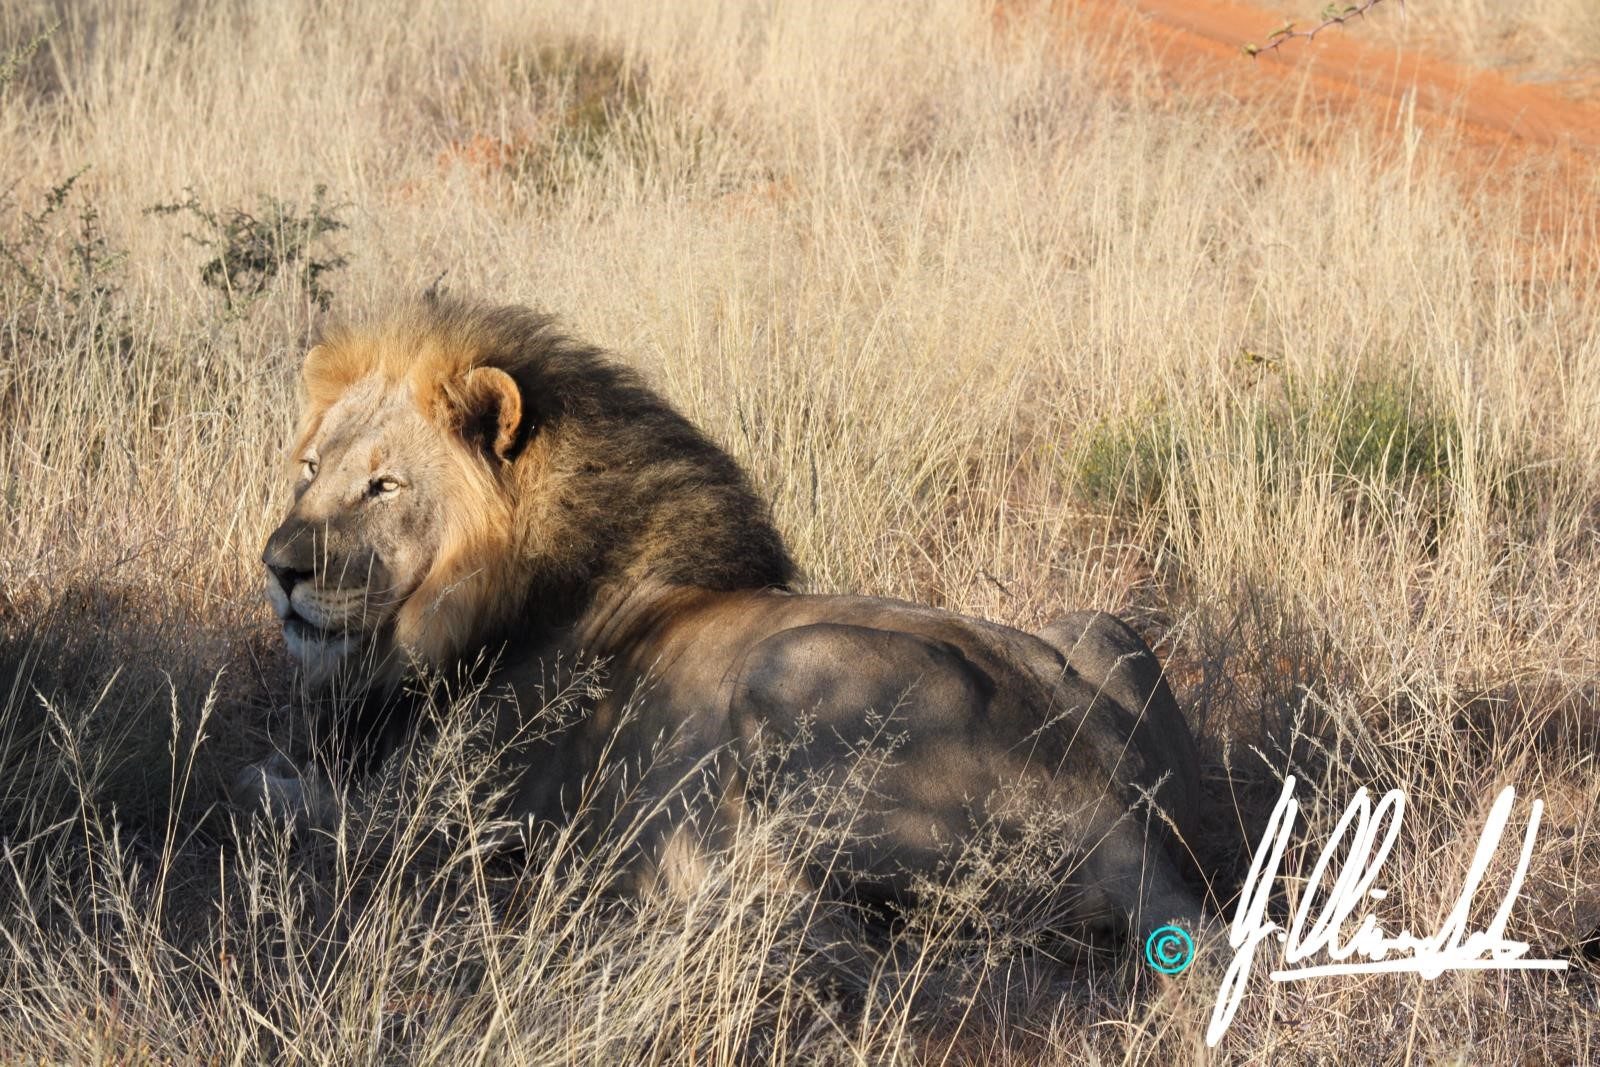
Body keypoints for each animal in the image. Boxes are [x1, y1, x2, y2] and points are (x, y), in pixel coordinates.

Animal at [252, 294, 1203, 953]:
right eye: (310, 468)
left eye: (385, 486)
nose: (279, 567)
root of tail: (1124, 817)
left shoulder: (436, 812)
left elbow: (272, 792)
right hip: (1103, 627)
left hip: (789, 664)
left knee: (817, 920)